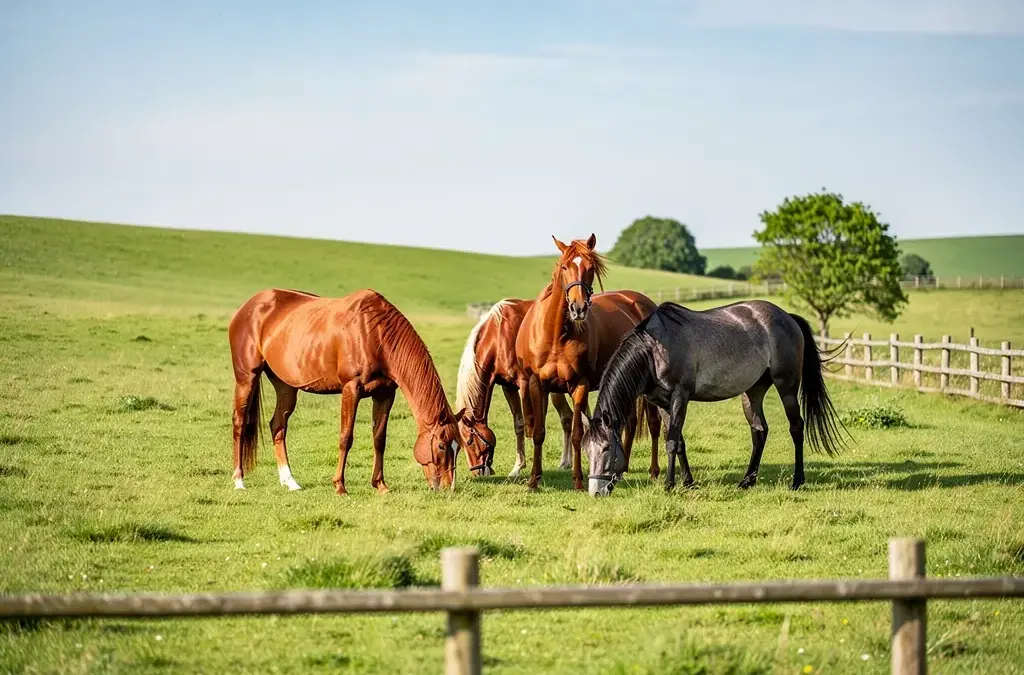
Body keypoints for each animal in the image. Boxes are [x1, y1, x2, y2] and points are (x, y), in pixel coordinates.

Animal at [227, 288, 477, 494]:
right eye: (442, 445)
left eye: (460, 447)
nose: (447, 488)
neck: (375, 334)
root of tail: (248, 307)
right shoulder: (351, 390)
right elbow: (346, 437)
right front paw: (340, 486)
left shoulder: (385, 394)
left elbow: (379, 439)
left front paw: (380, 485)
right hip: (246, 378)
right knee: (239, 422)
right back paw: (239, 481)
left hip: (286, 386)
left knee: (278, 425)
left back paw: (290, 482)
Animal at [515, 234, 662, 491]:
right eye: (564, 267)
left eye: (590, 268)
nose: (578, 308)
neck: (556, 334)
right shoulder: (537, 384)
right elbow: (539, 433)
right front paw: (534, 480)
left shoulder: (580, 384)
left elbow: (577, 433)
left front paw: (577, 480)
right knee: (631, 423)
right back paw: (620, 471)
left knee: (654, 423)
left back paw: (653, 472)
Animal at [581, 300, 848, 497]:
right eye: (586, 450)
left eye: (606, 448)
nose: (596, 492)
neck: (653, 351)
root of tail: (788, 317)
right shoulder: (663, 403)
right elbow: (678, 441)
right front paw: (688, 482)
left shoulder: (680, 397)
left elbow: (672, 441)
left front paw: (669, 485)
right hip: (753, 391)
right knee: (759, 431)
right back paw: (747, 481)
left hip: (787, 386)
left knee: (796, 428)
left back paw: (797, 481)